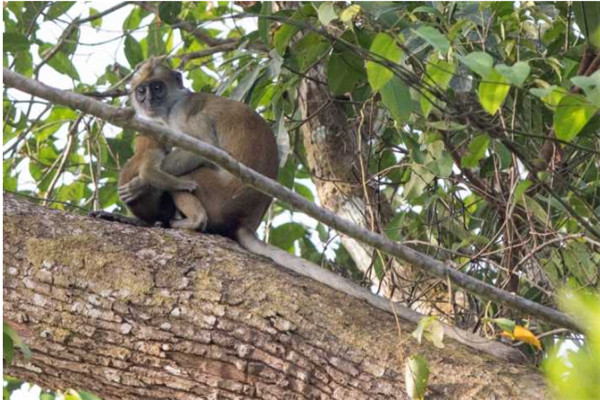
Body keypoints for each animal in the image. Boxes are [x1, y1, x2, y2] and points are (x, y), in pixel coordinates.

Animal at [118, 56, 280, 244]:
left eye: (157, 87)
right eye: (141, 91)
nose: (148, 100)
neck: (174, 102)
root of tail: (245, 222)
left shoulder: (180, 111)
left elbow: (207, 147)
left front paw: (139, 184)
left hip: (218, 195)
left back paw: (192, 221)